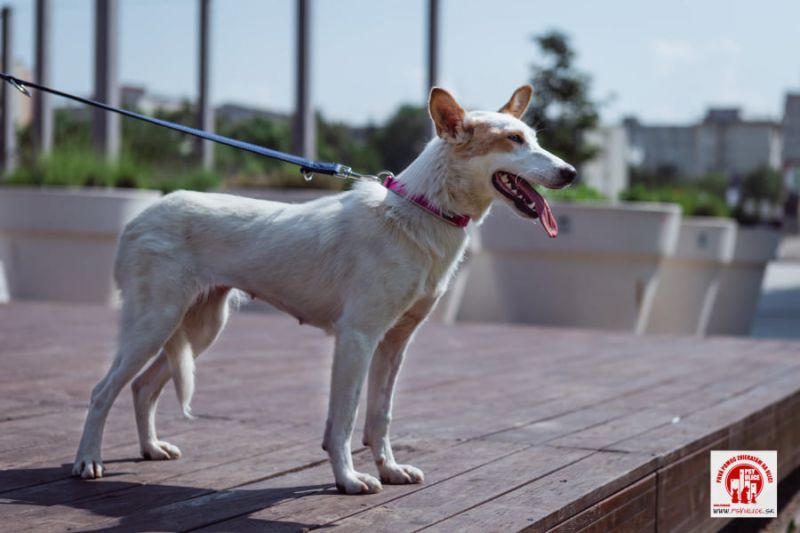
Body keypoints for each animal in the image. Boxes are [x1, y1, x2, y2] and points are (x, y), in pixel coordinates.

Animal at [72, 85, 576, 494]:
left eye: (534, 138)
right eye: (513, 140)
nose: (571, 172)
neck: (419, 212)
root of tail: (140, 216)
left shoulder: (394, 343)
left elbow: (380, 417)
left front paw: (390, 469)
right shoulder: (357, 338)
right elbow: (346, 420)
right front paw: (349, 480)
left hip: (199, 329)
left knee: (142, 388)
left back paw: (151, 449)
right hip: (154, 323)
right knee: (102, 390)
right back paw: (88, 462)